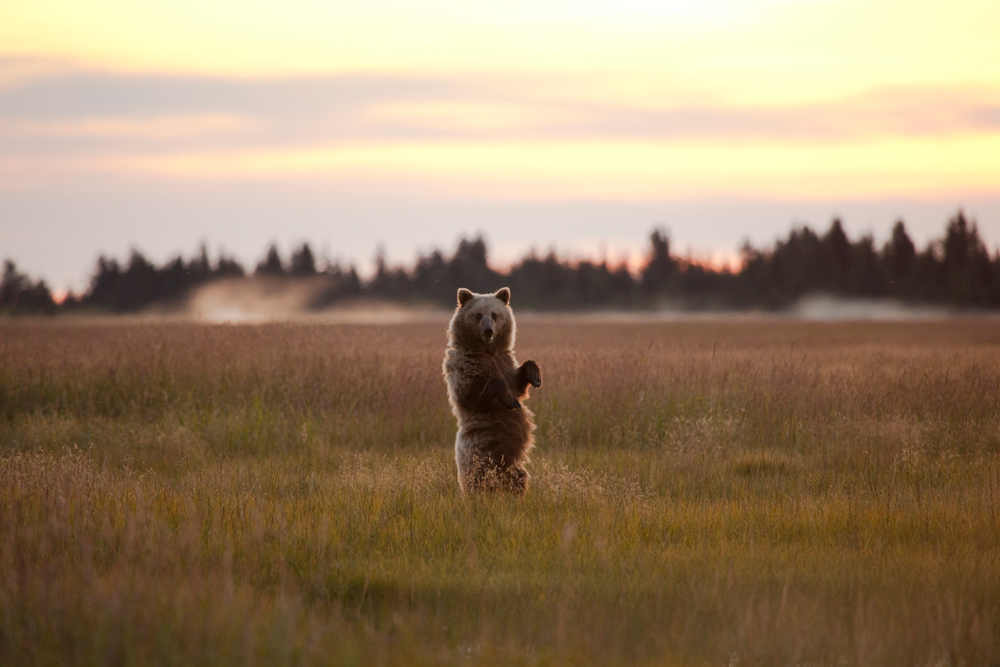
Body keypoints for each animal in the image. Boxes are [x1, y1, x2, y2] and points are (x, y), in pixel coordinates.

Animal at [442, 288, 544, 496]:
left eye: (495, 314)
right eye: (478, 315)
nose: (488, 330)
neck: (487, 352)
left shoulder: (505, 363)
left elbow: (519, 383)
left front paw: (535, 376)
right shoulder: (464, 370)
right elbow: (475, 394)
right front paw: (510, 400)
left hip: (512, 466)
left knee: (518, 479)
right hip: (477, 457)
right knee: (478, 481)